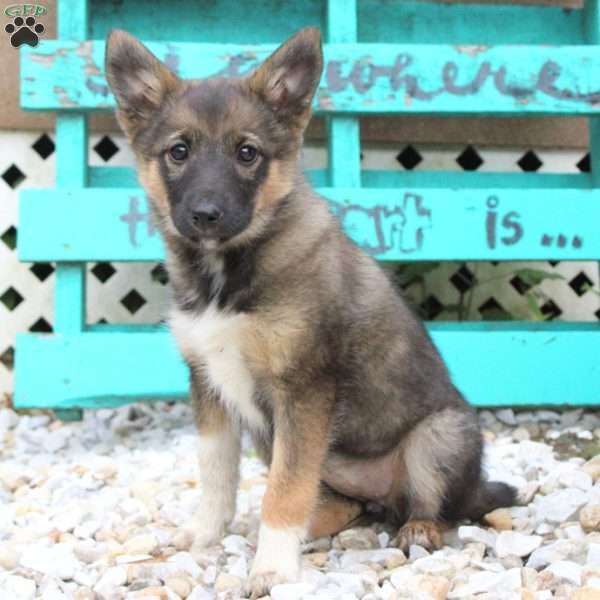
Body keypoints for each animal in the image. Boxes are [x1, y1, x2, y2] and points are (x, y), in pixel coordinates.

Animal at [104, 27, 516, 596]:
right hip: (271, 436)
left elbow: (286, 487)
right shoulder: (209, 386)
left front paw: (273, 567)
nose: (206, 214)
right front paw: (206, 534)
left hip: (440, 435)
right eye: (179, 151)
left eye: (248, 153)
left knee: (435, 505)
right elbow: (216, 473)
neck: (226, 274)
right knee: (345, 505)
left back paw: (418, 528)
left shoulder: (303, 390)